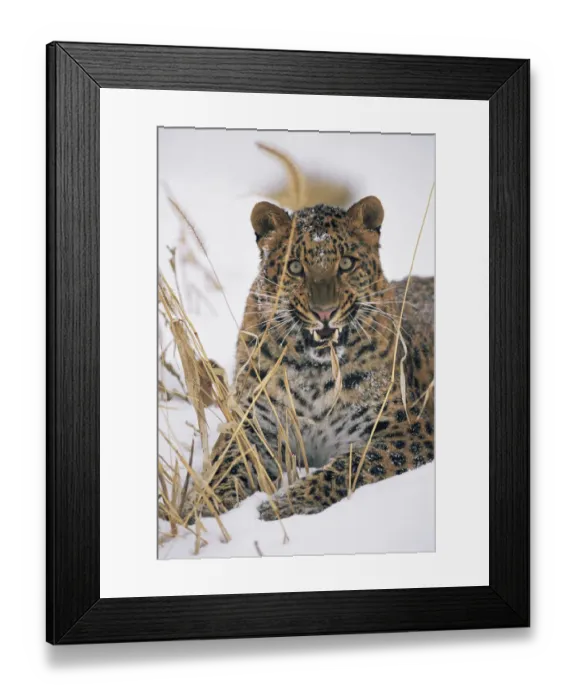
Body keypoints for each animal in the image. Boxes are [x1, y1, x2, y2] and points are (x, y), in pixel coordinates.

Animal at [191, 195, 434, 521]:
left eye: (346, 264)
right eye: (295, 267)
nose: (324, 312)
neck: (314, 375)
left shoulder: (410, 430)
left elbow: (354, 464)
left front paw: (283, 505)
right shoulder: (253, 427)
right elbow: (227, 467)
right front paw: (205, 511)